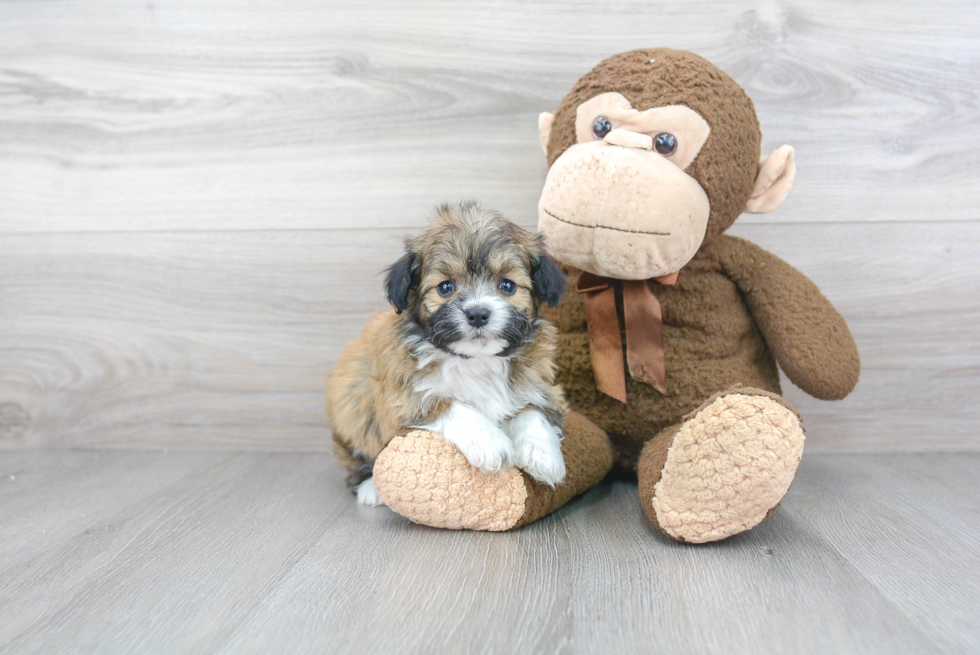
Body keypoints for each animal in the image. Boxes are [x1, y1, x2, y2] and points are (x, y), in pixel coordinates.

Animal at [326, 202, 568, 504]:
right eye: (445, 287)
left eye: (507, 285)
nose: (478, 314)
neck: (477, 360)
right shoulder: (402, 398)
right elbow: (449, 403)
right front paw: (490, 442)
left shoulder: (541, 386)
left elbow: (532, 410)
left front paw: (544, 454)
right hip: (352, 407)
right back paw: (370, 487)